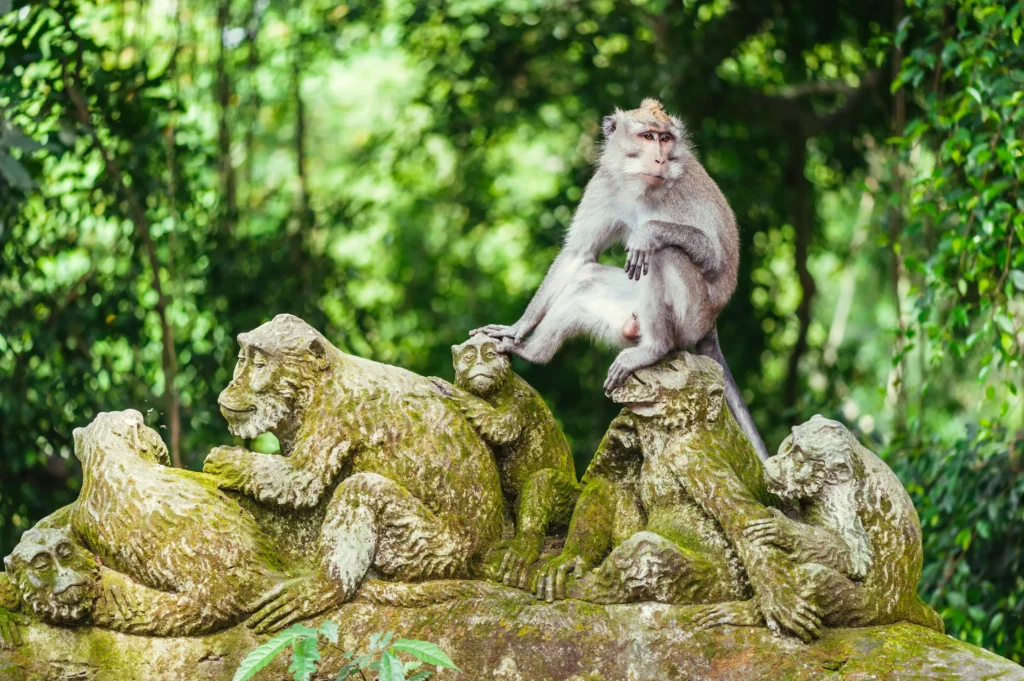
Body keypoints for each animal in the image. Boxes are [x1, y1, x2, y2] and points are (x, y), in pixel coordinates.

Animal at [472, 98, 768, 461]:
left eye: (665, 139)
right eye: (648, 136)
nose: (659, 157)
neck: (643, 186)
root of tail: (711, 324)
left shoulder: (683, 188)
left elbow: (713, 256)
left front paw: (648, 232)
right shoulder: (604, 185)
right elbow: (578, 255)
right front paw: (518, 327)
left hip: (691, 318)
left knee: (664, 255)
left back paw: (654, 348)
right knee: (585, 279)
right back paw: (532, 352)